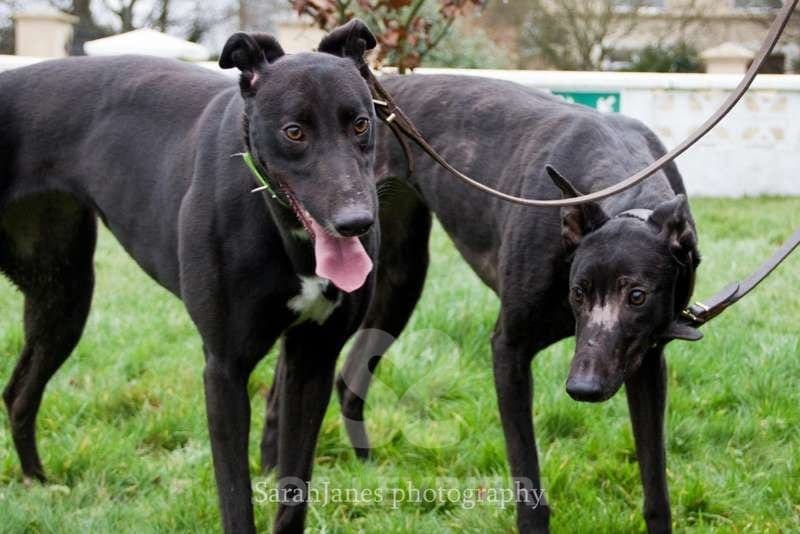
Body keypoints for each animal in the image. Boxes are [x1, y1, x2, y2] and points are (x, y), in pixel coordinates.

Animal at [0, 19, 381, 534]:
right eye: (294, 131)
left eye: (360, 123)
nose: (356, 223)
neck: (279, 224)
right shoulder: (224, 368)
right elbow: (235, 497)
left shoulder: (314, 357)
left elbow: (293, 494)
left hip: (62, 296)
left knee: (19, 393)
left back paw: (39, 487)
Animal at [262, 74, 704, 533]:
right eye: (578, 292)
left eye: (637, 296)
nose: (583, 388)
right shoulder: (509, 350)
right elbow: (528, 483)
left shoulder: (647, 363)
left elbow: (656, 486)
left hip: (398, 285)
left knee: (345, 377)